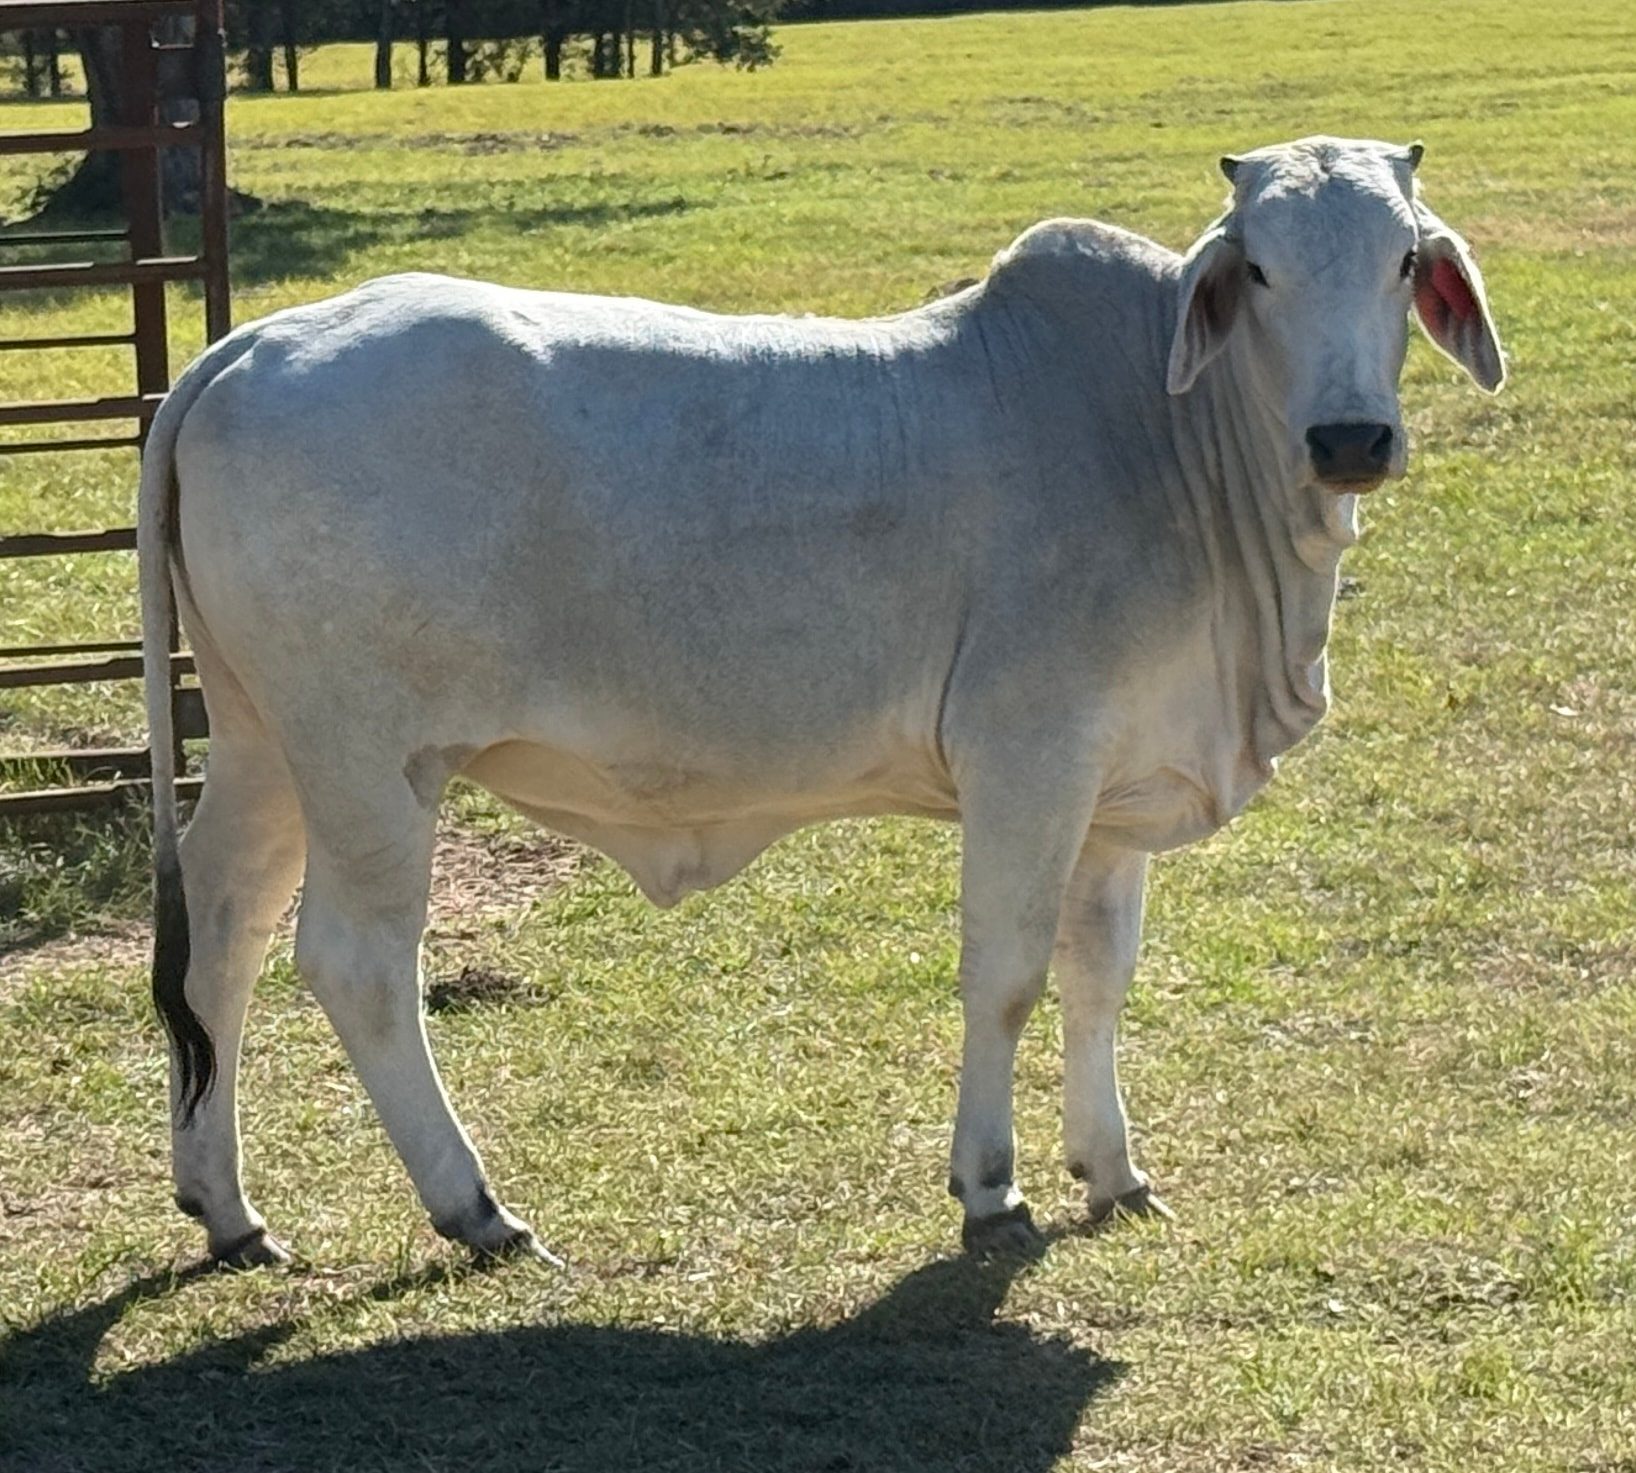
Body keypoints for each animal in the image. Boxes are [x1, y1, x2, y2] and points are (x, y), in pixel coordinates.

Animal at [140, 136, 1503, 1267]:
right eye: (1261, 270)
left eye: (1401, 260)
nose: (1349, 440)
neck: (1167, 443)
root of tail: (247, 347)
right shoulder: (1029, 760)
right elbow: (1008, 973)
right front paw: (992, 1188)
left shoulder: (1116, 790)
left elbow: (1099, 973)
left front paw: (1112, 1171)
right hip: (370, 762)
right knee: (356, 962)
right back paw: (474, 1207)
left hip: (263, 747)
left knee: (223, 934)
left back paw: (227, 1207)